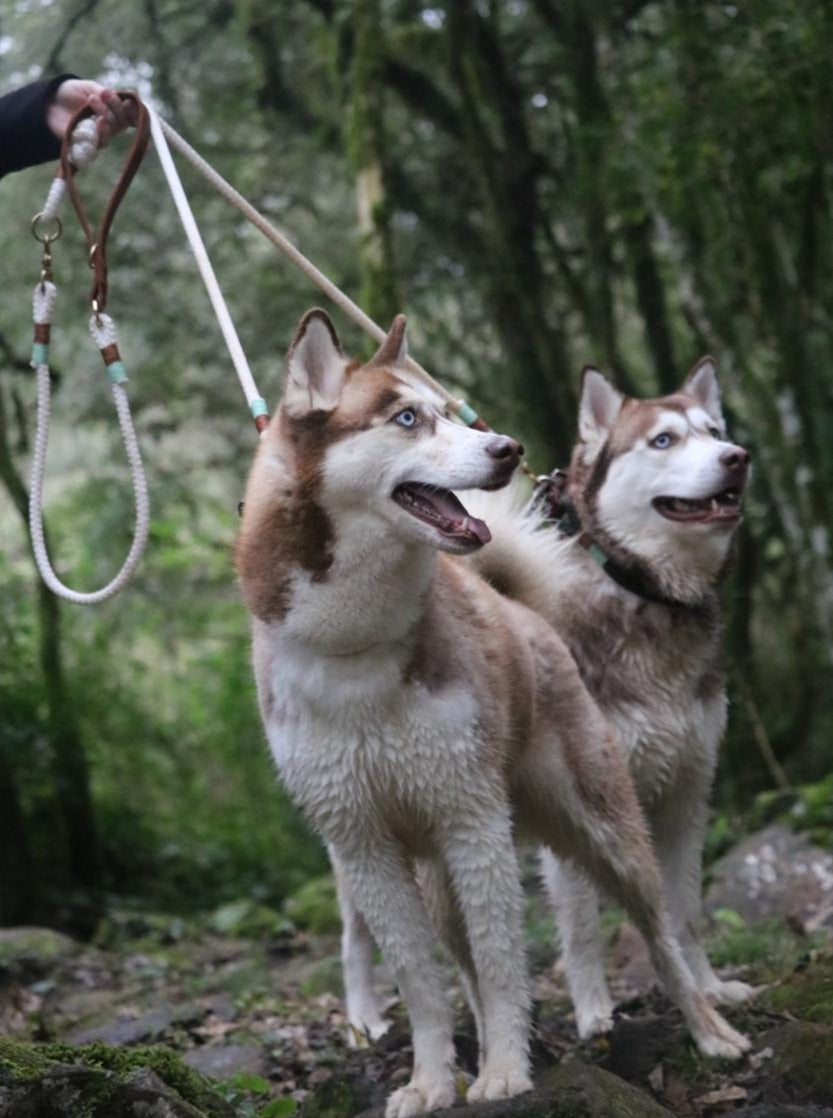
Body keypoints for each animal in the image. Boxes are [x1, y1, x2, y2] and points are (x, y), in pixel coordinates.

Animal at [237, 317, 751, 1118]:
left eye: (441, 410)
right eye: (406, 418)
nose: (506, 447)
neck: (352, 645)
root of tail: (526, 613)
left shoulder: (471, 819)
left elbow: (506, 960)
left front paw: (506, 1072)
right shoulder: (365, 843)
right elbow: (424, 983)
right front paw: (431, 1081)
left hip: (602, 828)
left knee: (662, 930)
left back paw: (709, 1030)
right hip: (433, 868)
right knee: (444, 963)